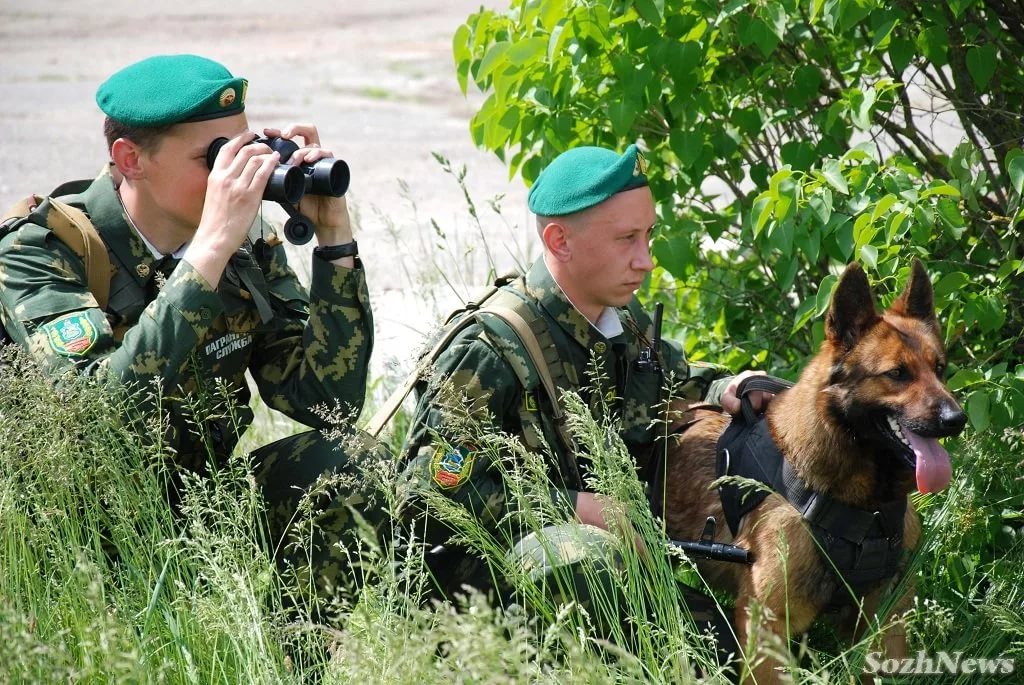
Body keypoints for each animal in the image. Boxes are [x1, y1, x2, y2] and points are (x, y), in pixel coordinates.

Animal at [667, 259, 962, 679]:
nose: (958, 420)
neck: (866, 511)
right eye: (897, 373)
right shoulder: (766, 629)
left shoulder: (885, 627)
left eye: (940, 369)